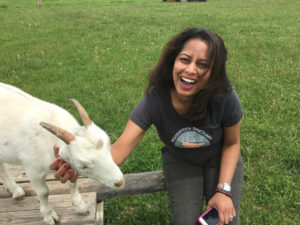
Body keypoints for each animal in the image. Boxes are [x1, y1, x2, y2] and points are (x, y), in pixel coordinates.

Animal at [0, 82, 124, 223]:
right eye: (83, 166)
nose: (120, 182)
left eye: (108, 145)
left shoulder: (68, 166)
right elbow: (44, 192)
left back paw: (15, 191)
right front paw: (49, 217)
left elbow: (73, 183)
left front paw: (80, 207)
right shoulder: (33, 170)